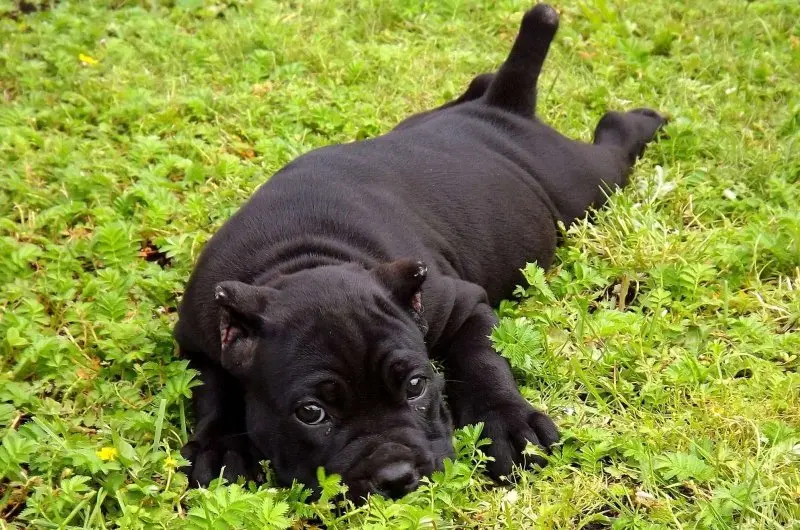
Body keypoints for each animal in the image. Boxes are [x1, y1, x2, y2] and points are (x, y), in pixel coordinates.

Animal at [175, 4, 664, 500]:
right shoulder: (197, 338)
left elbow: (484, 359)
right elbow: (212, 390)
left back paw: (644, 119)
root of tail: (500, 110)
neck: (302, 259)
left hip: (585, 182)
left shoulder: (460, 304)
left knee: (614, 140)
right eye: (310, 413)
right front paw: (220, 447)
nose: (395, 476)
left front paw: (508, 423)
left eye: (415, 386)